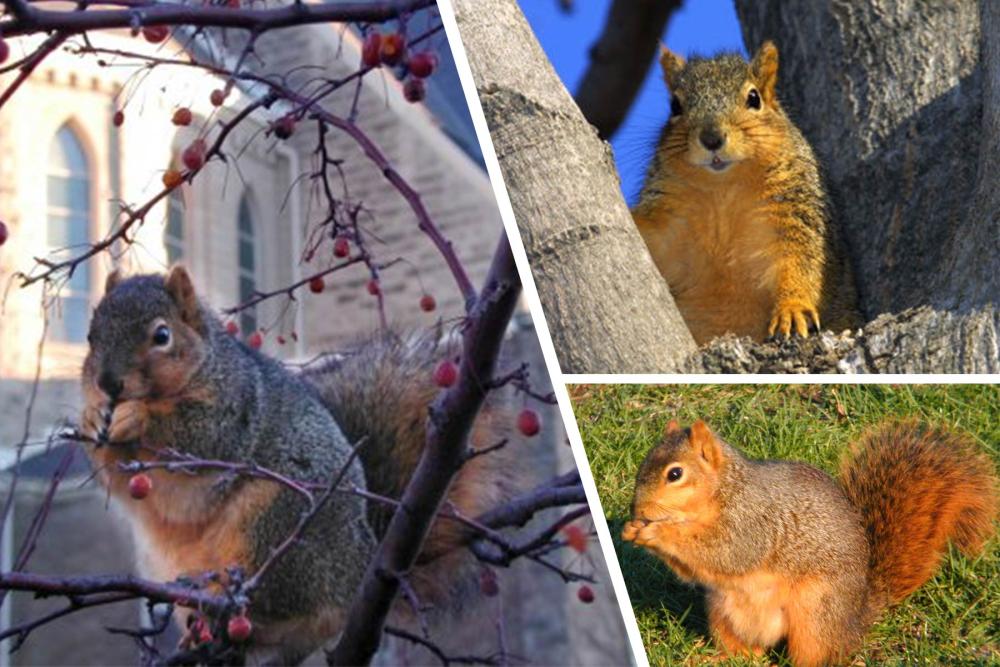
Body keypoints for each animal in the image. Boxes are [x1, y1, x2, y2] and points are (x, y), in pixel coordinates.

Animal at [79, 266, 517, 664]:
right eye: (90, 336)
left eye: (162, 335)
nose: (108, 383)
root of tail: (360, 569)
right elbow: (114, 475)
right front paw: (91, 418)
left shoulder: (235, 408)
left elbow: (199, 435)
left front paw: (137, 416)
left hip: (276, 519)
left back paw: (227, 603)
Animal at [622, 419, 998, 667]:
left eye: (675, 474)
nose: (636, 510)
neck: (724, 490)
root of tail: (857, 618)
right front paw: (632, 529)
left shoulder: (751, 525)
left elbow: (724, 553)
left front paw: (655, 533)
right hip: (721, 613)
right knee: (746, 653)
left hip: (816, 615)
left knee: (816, 655)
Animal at [631, 41, 860, 345]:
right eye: (675, 106)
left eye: (754, 98)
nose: (711, 138)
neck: (722, 191)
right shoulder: (671, 222)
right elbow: (655, 239)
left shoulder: (796, 213)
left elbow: (801, 261)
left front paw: (792, 309)